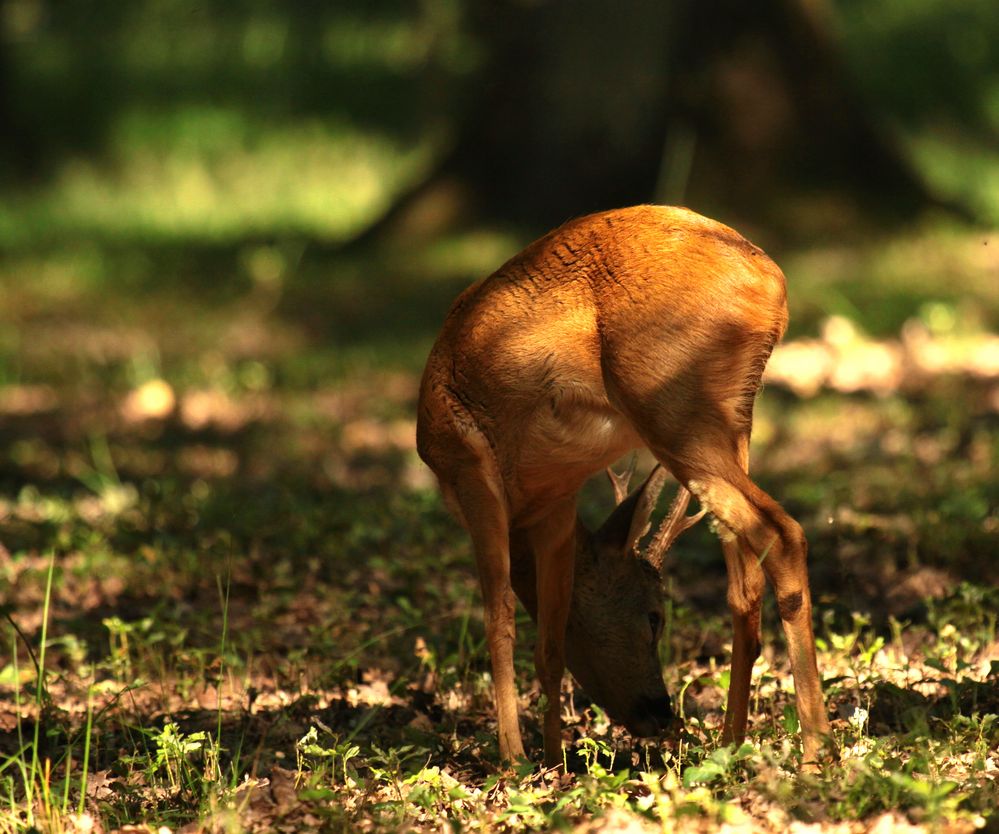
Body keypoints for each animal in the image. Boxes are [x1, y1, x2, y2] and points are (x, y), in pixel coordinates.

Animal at [418, 205, 832, 772]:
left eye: (656, 618)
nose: (659, 713)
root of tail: (770, 282)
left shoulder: (469, 468)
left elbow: (498, 617)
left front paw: (513, 758)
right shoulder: (555, 504)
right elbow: (550, 641)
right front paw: (554, 759)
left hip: (672, 407)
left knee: (782, 532)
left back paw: (815, 751)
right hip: (732, 420)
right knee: (744, 579)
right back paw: (729, 743)